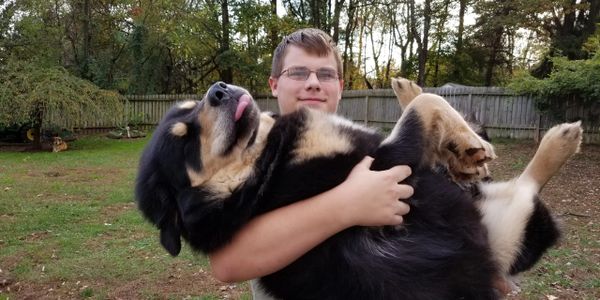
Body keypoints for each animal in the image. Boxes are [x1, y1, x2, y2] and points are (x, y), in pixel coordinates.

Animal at [136, 81, 580, 298]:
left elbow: (426, 103)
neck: (259, 176)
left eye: (191, 107)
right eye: (184, 140)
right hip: (506, 224)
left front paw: (460, 146)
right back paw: (561, 138)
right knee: (527, 186)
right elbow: (427, 104)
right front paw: (469, 146)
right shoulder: (387, 161)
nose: (219, 89)